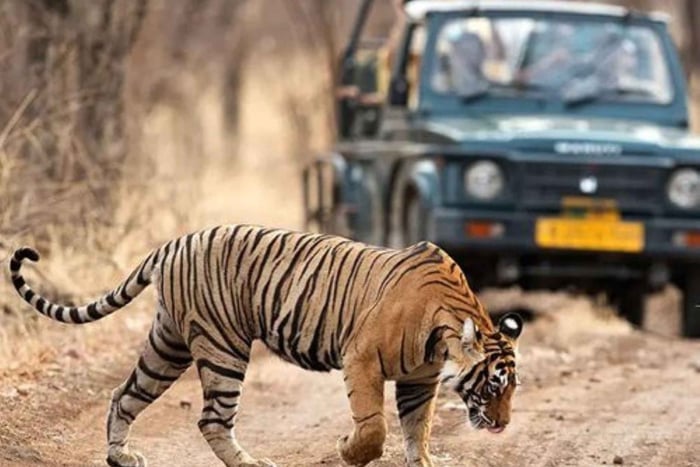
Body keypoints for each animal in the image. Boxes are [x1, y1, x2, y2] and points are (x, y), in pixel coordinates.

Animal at [9, 225, 523, 467]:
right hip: (223, 347)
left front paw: (423, 459)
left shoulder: (419, 380)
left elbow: (420, 428)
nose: (502, 425)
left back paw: (121, 456)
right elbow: (374, 427)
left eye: (511, 389)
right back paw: (251, 463)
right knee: (211, 419)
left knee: (124, 394)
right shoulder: (361, 359)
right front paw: (347, 449)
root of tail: (174, 243)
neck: (443, 337)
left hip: (168, 344)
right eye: (494, 385)